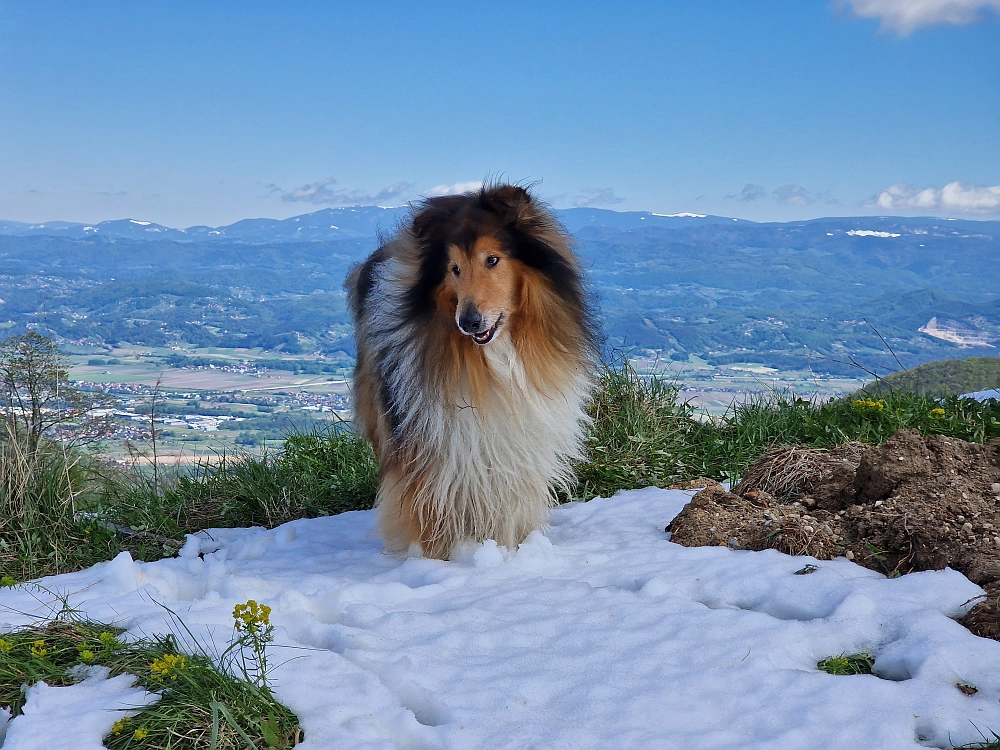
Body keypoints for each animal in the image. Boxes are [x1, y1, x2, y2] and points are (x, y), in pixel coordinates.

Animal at [348, 184, 596, 560]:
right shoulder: (433, 447)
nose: (469, 322)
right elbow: (432, 507)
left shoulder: (516, 443)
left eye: (492, 259)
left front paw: (510, 550)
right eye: (454, 268)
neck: (497, 357)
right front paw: (438, 562)